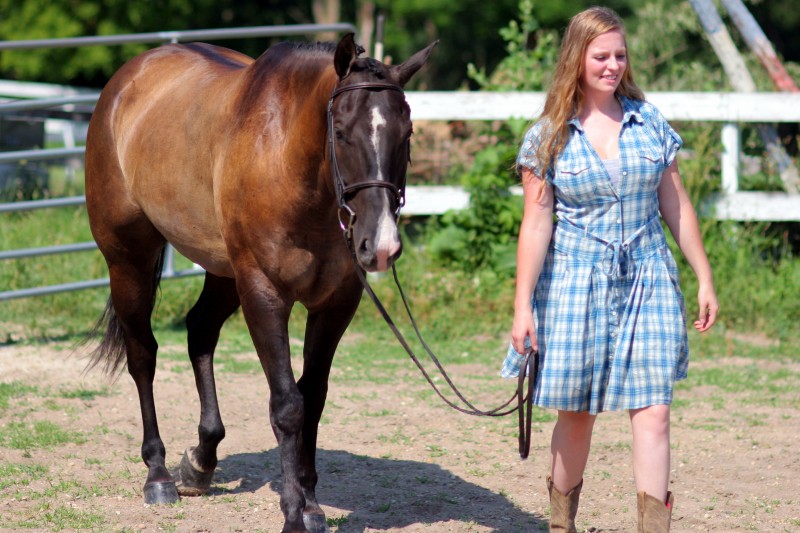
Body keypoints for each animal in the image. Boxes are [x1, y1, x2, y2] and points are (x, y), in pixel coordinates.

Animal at [84, 33, 436, 533]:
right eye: (341, 132)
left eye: (406, 135)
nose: (381, 245)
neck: (289, 164)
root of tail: (128, 78)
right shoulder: (264, 294)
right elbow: (288, 405)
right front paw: (293, 512)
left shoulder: (336, 303)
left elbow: (314, 397)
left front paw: (310, 503)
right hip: (129, 259)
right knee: (143, 356)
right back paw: (158, 474)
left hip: (222, 271)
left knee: (199, 331)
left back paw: (201, 461)